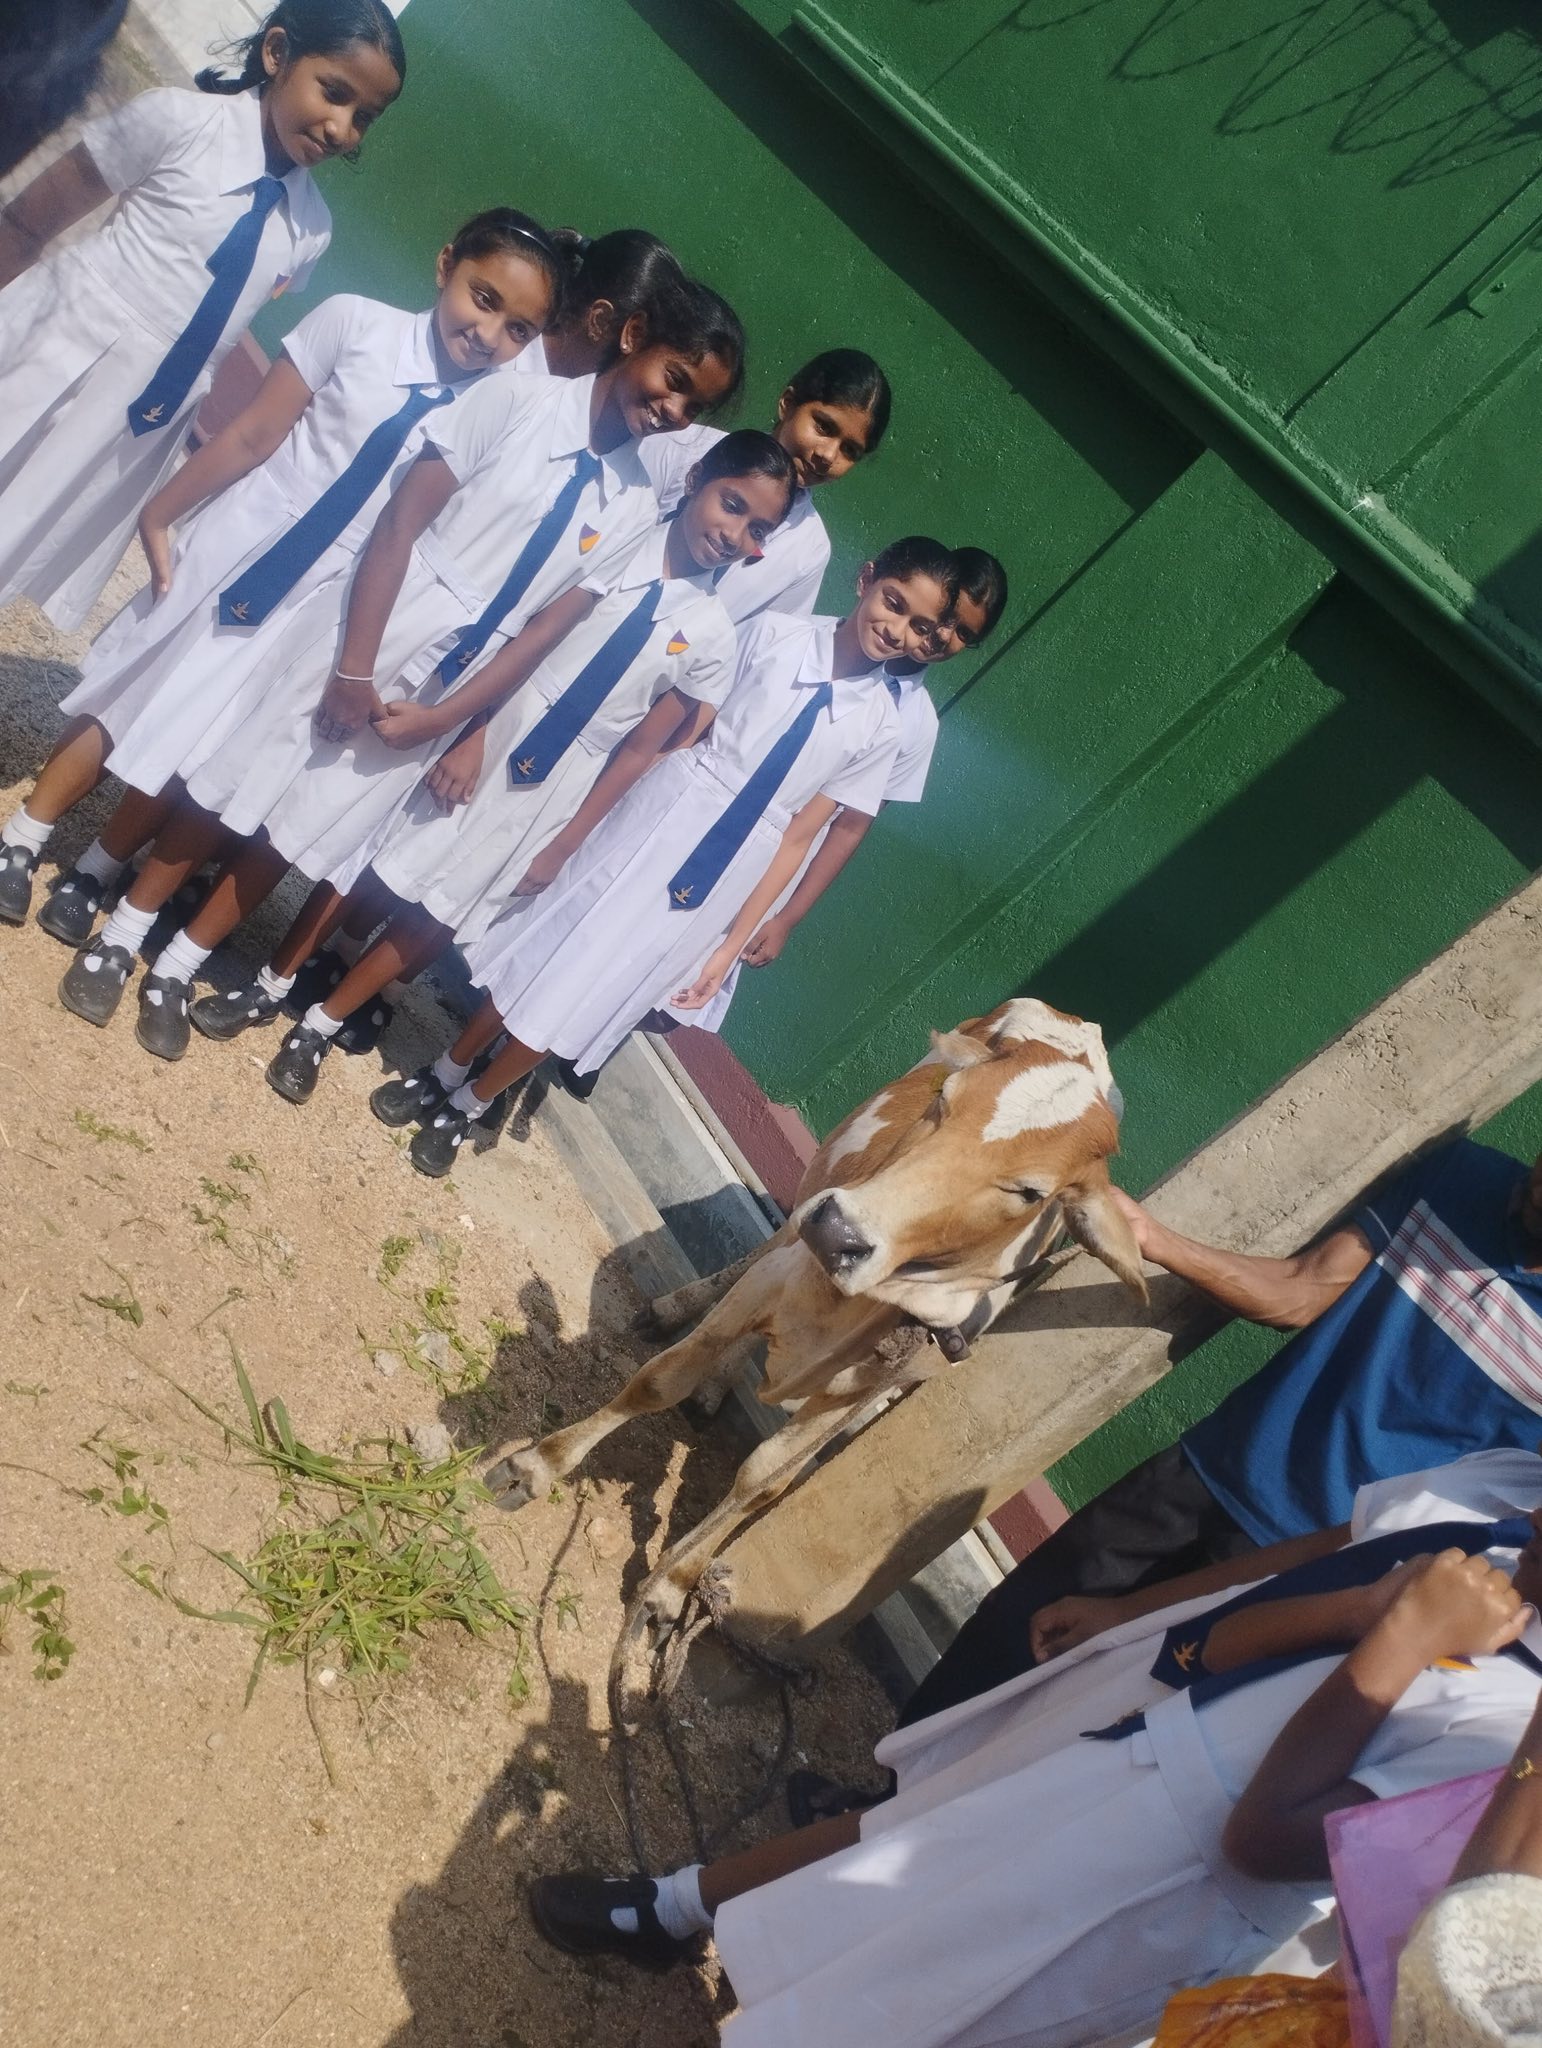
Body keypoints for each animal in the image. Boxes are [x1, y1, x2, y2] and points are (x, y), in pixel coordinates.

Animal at [489, 999, 1147, 1623]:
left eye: (1032, 1192)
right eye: (945, 1098)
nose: (839, 1232)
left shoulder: (862, 1392)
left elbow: (765, 1482)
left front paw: (673, 1584)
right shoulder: (771, 1282)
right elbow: (658, 1382)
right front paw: (535, 1466)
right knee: (763, 1248)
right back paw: (681, 1314)